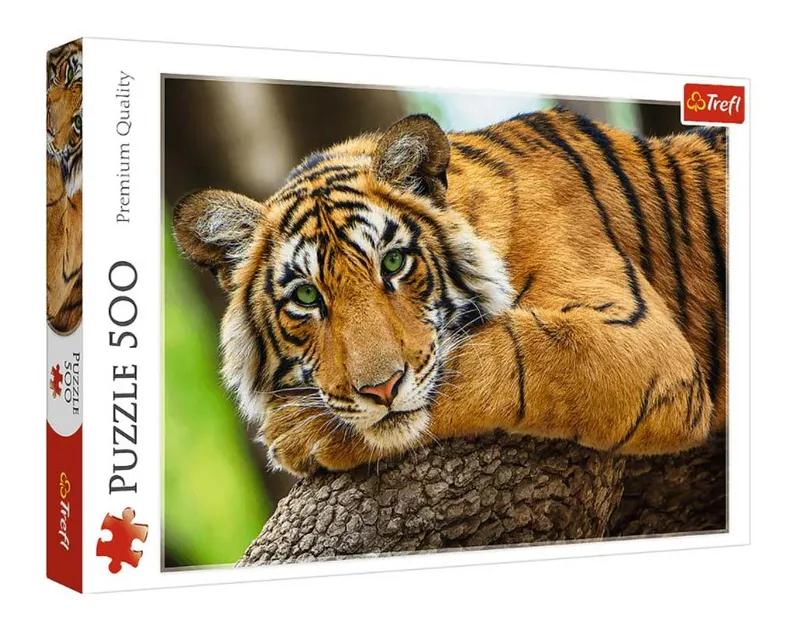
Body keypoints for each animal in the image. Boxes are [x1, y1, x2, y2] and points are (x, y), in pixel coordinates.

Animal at [173, 107, 727, 477]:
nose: (380, 390)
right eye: (307, 297)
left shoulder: (640, 340)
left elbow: (502, 355)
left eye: (393, 263)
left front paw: (298, 431)